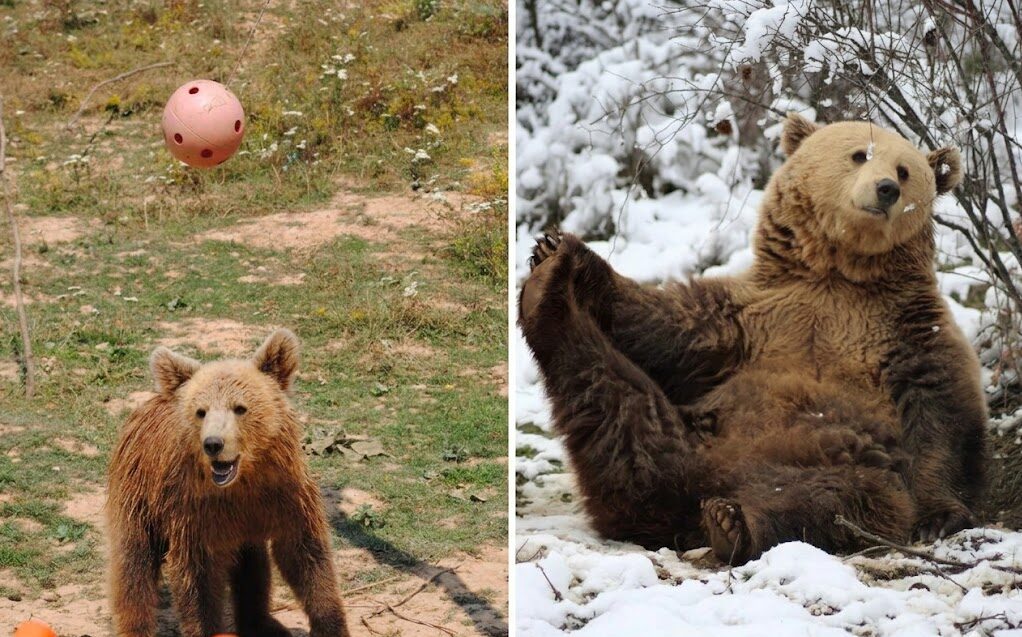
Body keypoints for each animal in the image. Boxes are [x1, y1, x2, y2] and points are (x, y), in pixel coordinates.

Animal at [106, 329, 350, 637]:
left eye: (240, 408)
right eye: (201, 411)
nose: (213, 444)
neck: (244, 480)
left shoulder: (285, 496)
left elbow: (305, 557)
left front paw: (331, 624)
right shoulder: (194, 513)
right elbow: (197, 581)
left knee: (253, 567)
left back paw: (262, 623)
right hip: (138, 492)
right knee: (133, 564)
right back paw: (135, 625)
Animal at [518, 113, 988, 565]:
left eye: (905, 170)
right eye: (860, 154)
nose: (886, 189)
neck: (837, 276)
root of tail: (698, 485)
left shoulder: (904, 329)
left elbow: (940, 411)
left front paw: (939, 516)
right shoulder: (748, 317)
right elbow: (659, 324)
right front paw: (559, 248)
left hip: (841, 462)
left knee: (827, 502)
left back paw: (733, 524)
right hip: (690, 426)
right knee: (615, 407)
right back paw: (546, 291)